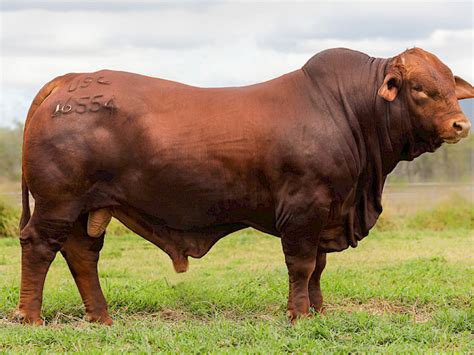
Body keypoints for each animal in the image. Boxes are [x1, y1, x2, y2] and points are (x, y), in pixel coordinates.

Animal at [16, 48, 472, 326]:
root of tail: (71, 79)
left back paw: (101, 317)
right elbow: (302, 265)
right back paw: (31, 317)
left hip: (85, 207)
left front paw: (319, 312)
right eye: (419, 89)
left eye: (450, 86)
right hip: (57, 202)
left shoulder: (328, 211)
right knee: (40, 246)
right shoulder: (304, 207)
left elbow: (319, 267)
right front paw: (298, 315)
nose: (460, 124)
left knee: (82, 254)